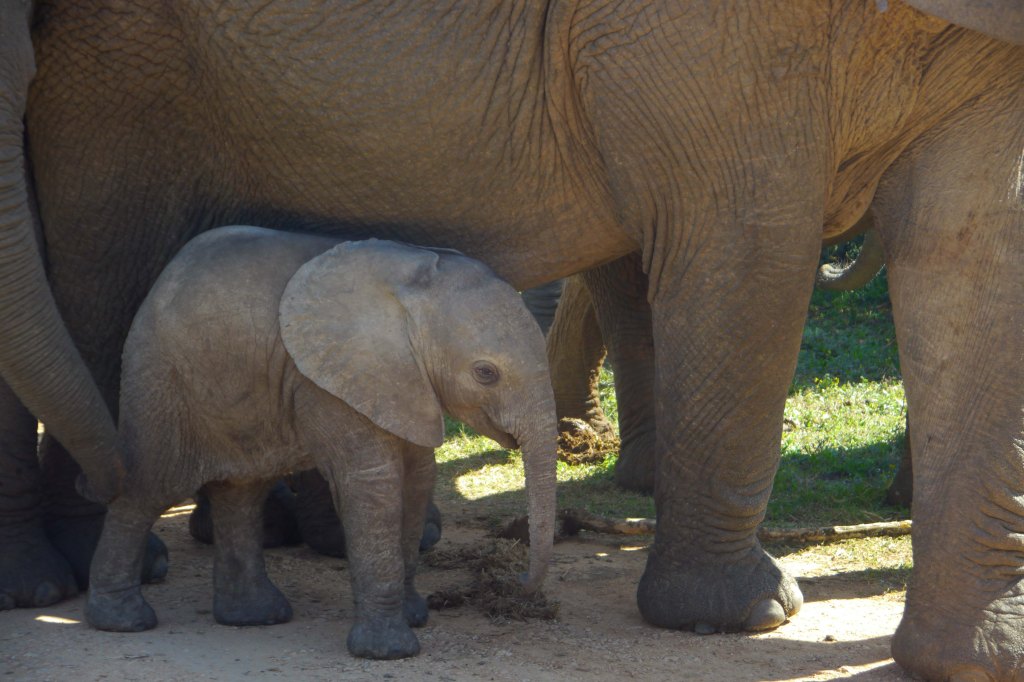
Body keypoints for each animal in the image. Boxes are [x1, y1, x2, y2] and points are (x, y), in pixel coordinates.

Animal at [84, 227, 557, 660]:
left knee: (241, 492)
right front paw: (389, 650)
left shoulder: (404, 383)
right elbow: (374, 483)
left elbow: (418, 477)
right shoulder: (330, 381)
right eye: (485, 373)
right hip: (159, 377)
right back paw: (123, 621)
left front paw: (415, 615)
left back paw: (255, 617)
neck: (413, 287)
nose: (518, 582)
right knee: (148, 487)